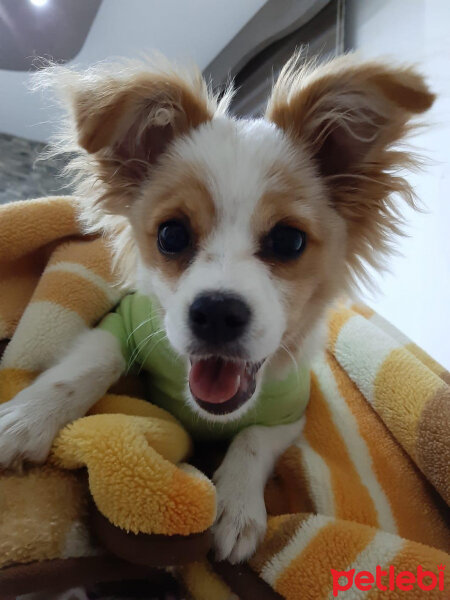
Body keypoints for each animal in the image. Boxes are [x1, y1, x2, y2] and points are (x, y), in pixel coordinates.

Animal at [0, 51, 436, 564]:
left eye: (289, 241)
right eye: (171, 235)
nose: (217, 313)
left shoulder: (292, 410)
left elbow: (253, 438)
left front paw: (238, 504)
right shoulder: (122, 321)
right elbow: (88, 366)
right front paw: (26, 418)